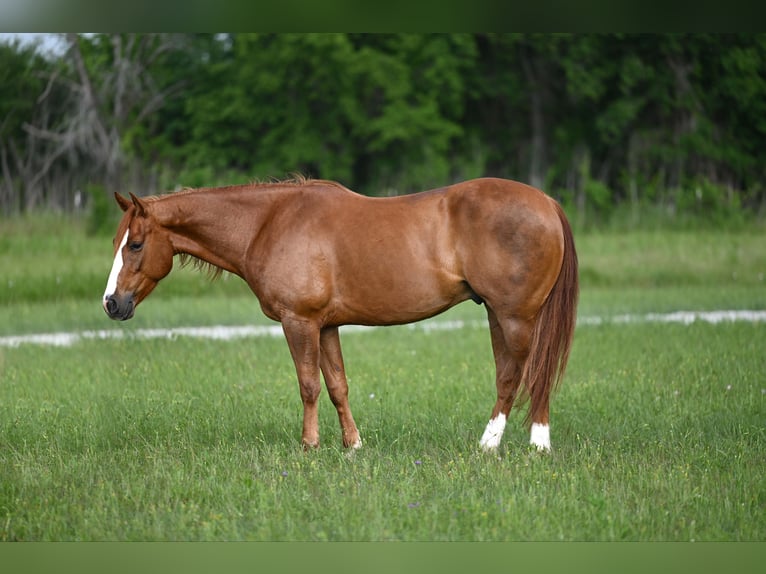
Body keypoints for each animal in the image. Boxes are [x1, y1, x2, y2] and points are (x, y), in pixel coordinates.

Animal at [103, 179, 584, 454]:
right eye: (117, 240)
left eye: (136, 244)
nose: (112, 303)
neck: (268, 223)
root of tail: (546, 201)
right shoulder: (327, 325)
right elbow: (337, 386)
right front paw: (352, 446)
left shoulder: (299, 322)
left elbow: (309, 385)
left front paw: (310, 446)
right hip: (499, 316)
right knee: (520, 373)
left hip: (515, 316)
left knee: (520, 375)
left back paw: (503, 444)